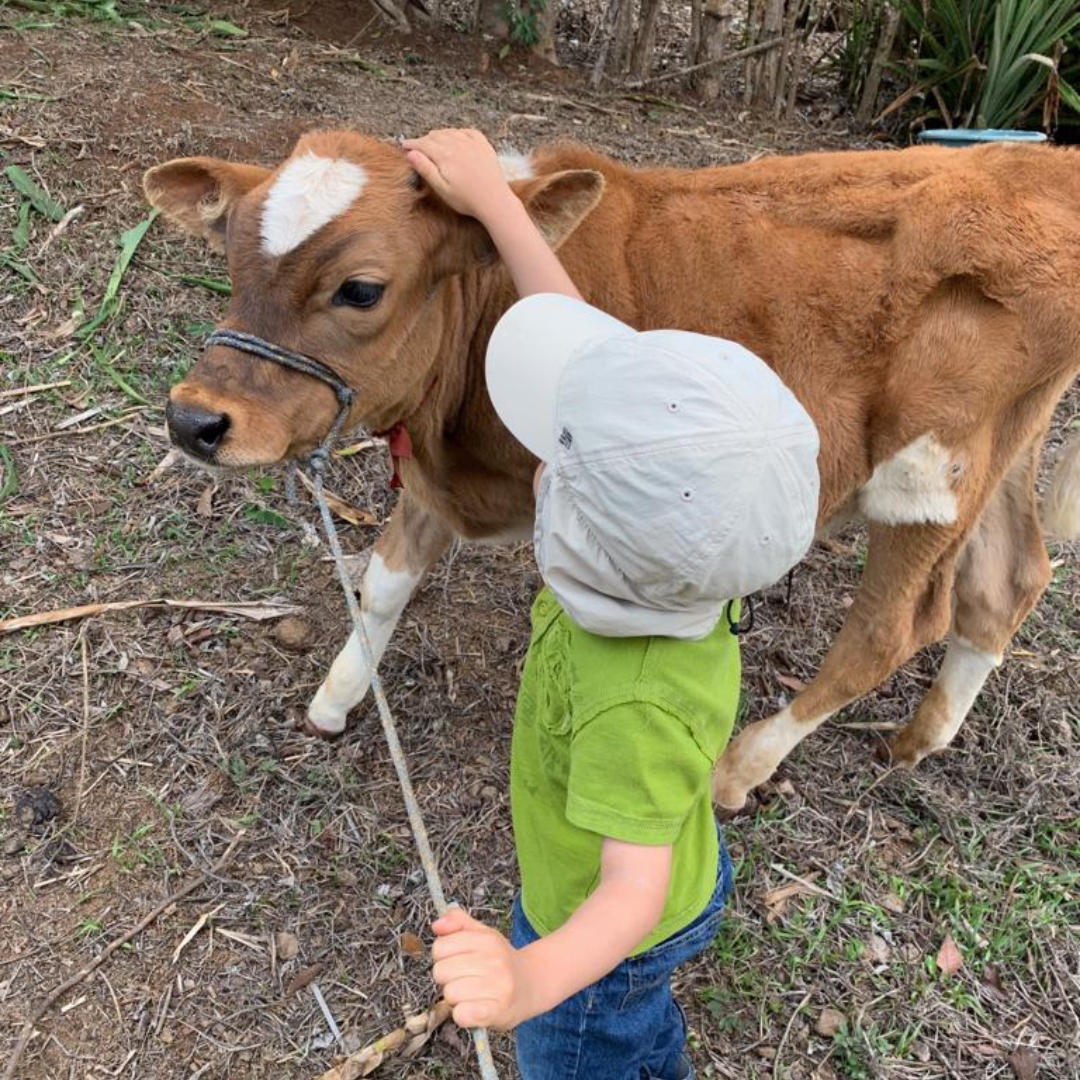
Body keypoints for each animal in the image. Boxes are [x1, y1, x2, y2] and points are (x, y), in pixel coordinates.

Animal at [145, 132, 1080, 812]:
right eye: (230, 260)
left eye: (362, 289)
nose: (195, 420)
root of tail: (1044, 161)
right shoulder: (436, 481)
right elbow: (382, 582)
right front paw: (338, 698)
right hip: (1006, 447)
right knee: (1009, 579)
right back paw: (921, 737)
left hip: (929, 474)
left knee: (891, 631)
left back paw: (739, 769)